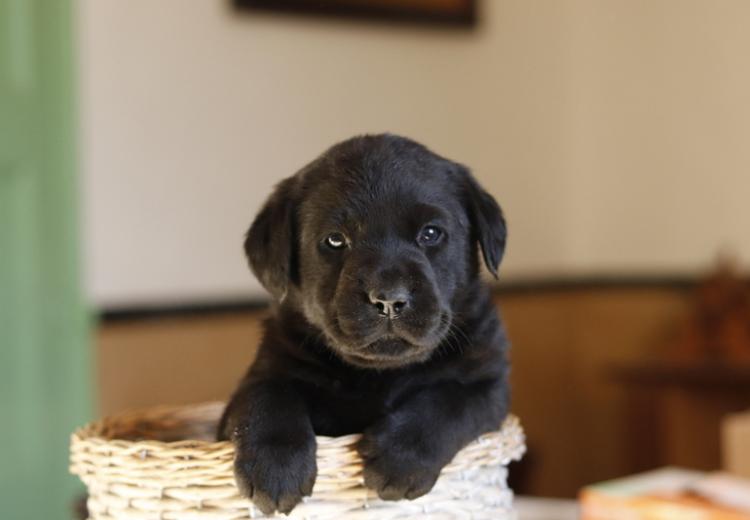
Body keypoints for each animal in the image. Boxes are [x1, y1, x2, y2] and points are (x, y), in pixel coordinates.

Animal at [217, 134, 512, 516]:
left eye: (430, 233)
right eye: (335, 239)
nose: (389, 299)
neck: (379, 374)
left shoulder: (488, 385)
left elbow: (448, 402)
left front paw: (400, 460)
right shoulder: (268, 368)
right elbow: (266, 396)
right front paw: (274, 467)